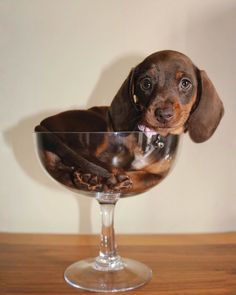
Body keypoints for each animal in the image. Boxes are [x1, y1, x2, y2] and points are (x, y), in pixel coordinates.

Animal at [35, 50, 223, 195]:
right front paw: (111, 178)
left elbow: (143, 177)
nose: (163, 114)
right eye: (146, 83)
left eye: (185, 83)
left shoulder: (157, 174)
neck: (149, 138)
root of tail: (43, 123)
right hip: (92, 124)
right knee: (83, 157)